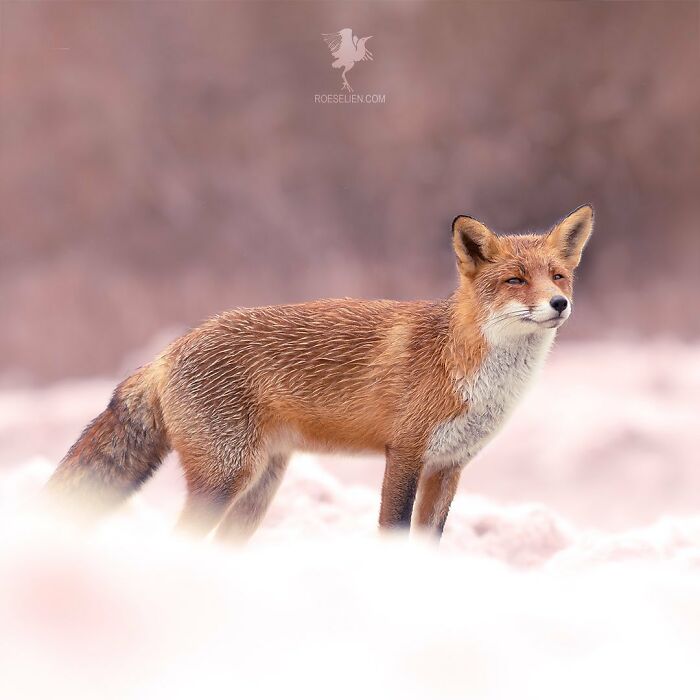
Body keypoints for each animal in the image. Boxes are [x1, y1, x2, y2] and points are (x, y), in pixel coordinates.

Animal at [47, 205, 594, 540]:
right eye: (515, 280)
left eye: (558, 276)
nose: (559, 303)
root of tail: (167, 351)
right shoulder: (405, 454)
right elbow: (393, 533)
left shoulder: (450, 465)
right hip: (225, 478)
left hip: (259, 487)